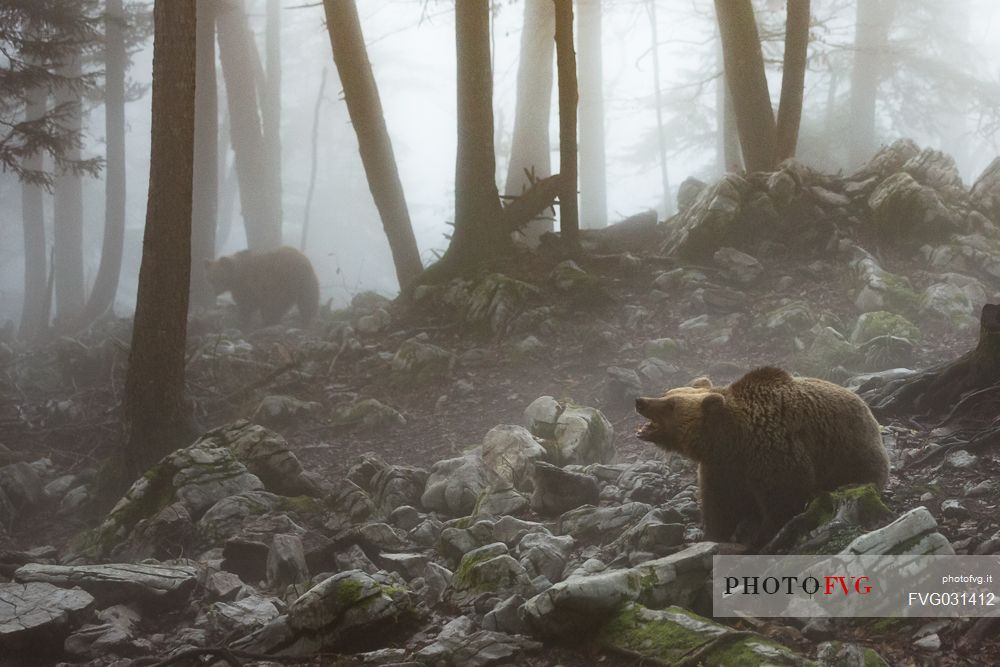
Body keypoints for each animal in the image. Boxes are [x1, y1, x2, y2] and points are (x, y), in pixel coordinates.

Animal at [636, 368, 888, 552]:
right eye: (666, 393)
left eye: (670, 405)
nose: (640, 401)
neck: (730, 441)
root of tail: (867, 410)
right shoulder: (721, 469)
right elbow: (719, 506)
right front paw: (714, 535)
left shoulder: (774, 453)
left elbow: (783, 501)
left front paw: (758, 539)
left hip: (849, 454)